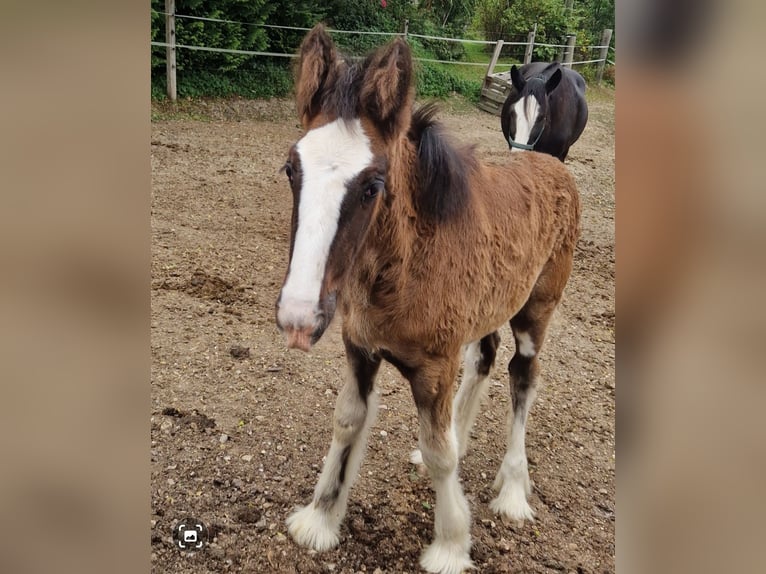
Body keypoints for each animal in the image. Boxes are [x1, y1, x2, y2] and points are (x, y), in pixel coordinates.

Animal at [275, 25, 580, 574]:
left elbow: (441, 453)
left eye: (372, 185)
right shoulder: (361, 350)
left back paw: (513, 491)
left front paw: (451, 545)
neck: (403, 269)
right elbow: (348, 421)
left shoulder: (436, 366)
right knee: (485, 358)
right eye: (291, 169)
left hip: (536, 312)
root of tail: (551, 165)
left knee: (523, 377)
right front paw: (320, 519)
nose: (298, 319)